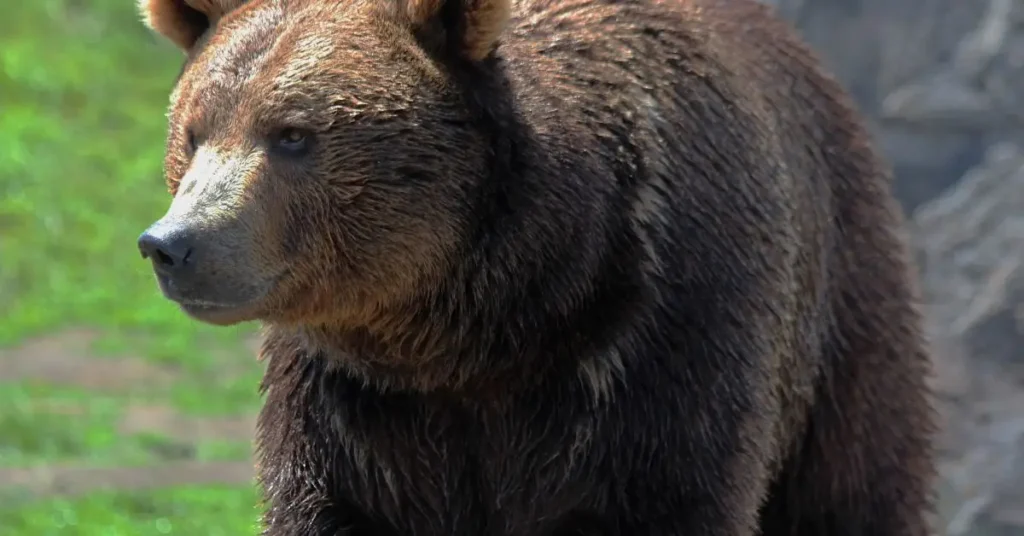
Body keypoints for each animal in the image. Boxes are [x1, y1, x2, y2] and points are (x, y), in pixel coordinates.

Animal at [135, 0, 938, 534]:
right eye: (194, 131)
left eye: (293, 135)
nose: (174, 243)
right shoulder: (352, 407)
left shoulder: (657, 347)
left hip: (840, 318)